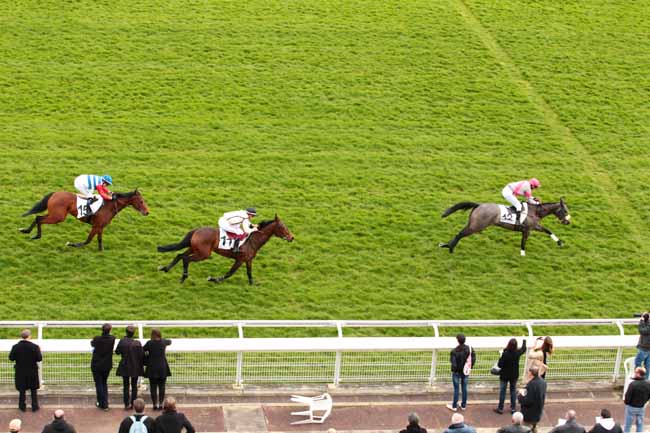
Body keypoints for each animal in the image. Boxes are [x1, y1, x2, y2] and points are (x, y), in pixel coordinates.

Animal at [20, 190, 149, 250]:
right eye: (141, 201)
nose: (147, 212)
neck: (110, 206)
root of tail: (55, 193)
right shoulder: (96, 226)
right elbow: (88, 240)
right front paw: (72, 244)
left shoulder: (100, 226)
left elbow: (99, 239)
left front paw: (101, 251)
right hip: (58, 217)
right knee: (40, 219)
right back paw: (36, 235)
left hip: (55, 214)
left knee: (38, 217)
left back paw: (27, 231)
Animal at [157, 215, 294, 284]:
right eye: (283, 227)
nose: (292, 237)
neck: (253, 240)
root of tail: (196, 230)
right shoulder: (240, 259)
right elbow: (230, 273)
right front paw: (214, 279)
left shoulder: (248, 260)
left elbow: (249, 272)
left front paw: (252, 284)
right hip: (203, 253)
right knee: (186, 259)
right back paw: (183, 277)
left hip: (194, 248)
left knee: (180, 255)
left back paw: (165, 268)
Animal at [439, 198, 570, 256]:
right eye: (564, 210)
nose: (567, 222)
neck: (535, 211)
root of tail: (479, 205)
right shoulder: (527, 230)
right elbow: (523, 242)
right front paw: (522, 254)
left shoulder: (534, 226)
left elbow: (548, 230)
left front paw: (560, 243)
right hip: (477, 226)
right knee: (460, 234)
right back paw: (450, 247)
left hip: (473, 223)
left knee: (460, 232)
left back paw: (446, 245)